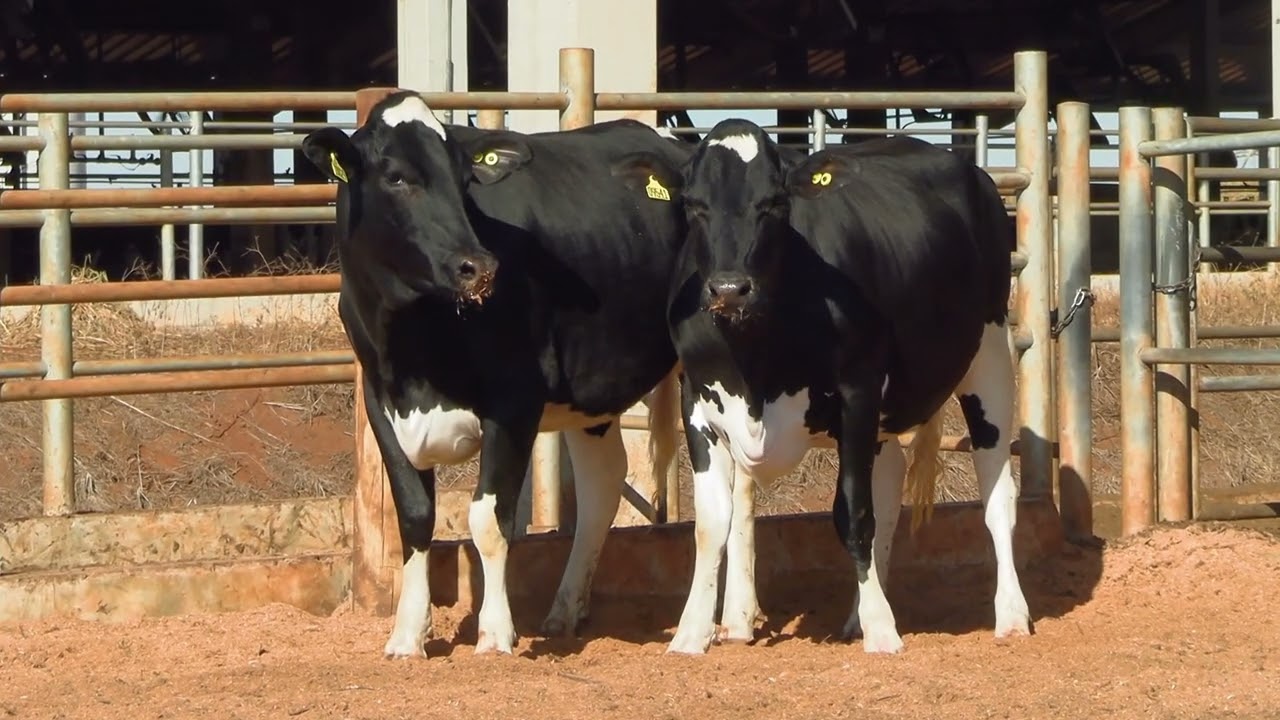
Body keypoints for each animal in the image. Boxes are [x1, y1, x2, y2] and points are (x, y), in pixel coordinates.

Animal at [300, 90, 690, 657]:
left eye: (465, 181)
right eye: (396, 177)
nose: (477, 266)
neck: (416, 340)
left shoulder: (514, 402)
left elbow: (490, 519)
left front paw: (495, 633)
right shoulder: (381, 402)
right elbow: (414, 516)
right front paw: (407, 635)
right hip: (593, 394)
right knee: (603, 483)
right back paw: (566, 609)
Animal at [612, 118, 1033, 654]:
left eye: (773, 203)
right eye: (692, 204)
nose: (728, 288)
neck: (755, 362)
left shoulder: (857, 390)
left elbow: (853, 514)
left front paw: (882, 631)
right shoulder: (697, 400)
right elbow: (711, 522)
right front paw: (690, 633)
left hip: (992, 354)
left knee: (997, 492)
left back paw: (1011, 615)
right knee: (889, 487)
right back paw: (858, 614)